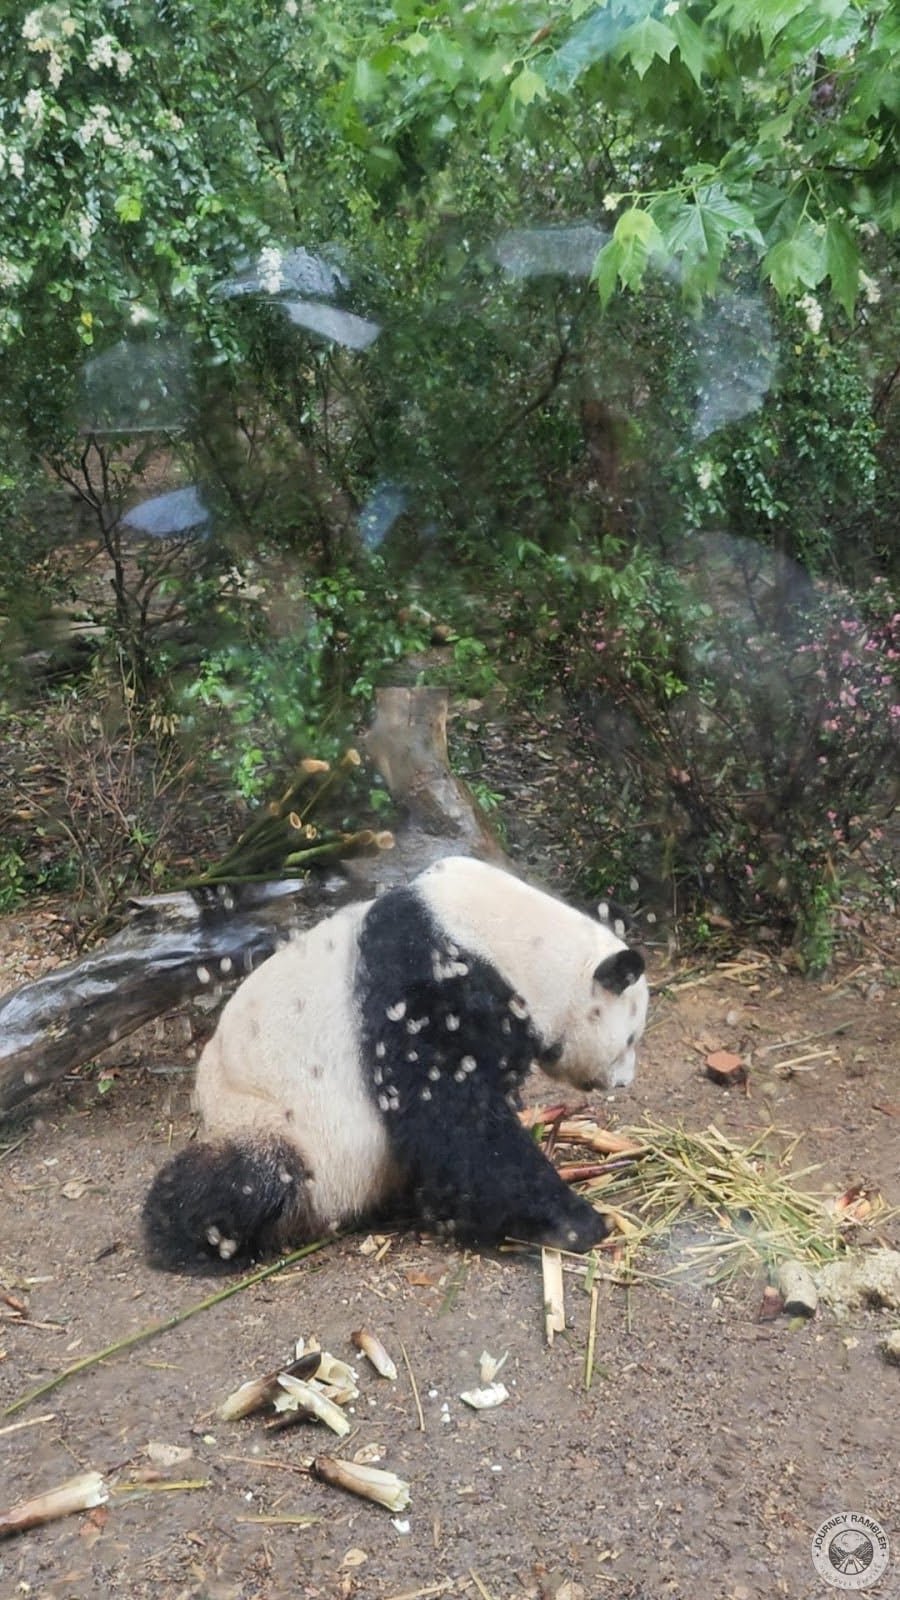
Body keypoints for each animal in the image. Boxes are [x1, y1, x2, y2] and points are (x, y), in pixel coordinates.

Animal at [142, 855, 648, 1272]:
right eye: (630, 1038)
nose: (624, 1082)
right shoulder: (428, 974)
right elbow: (448, 1112)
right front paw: (574, 1223)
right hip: (271, 1121)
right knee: (247, 1181)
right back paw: (188, 1235)